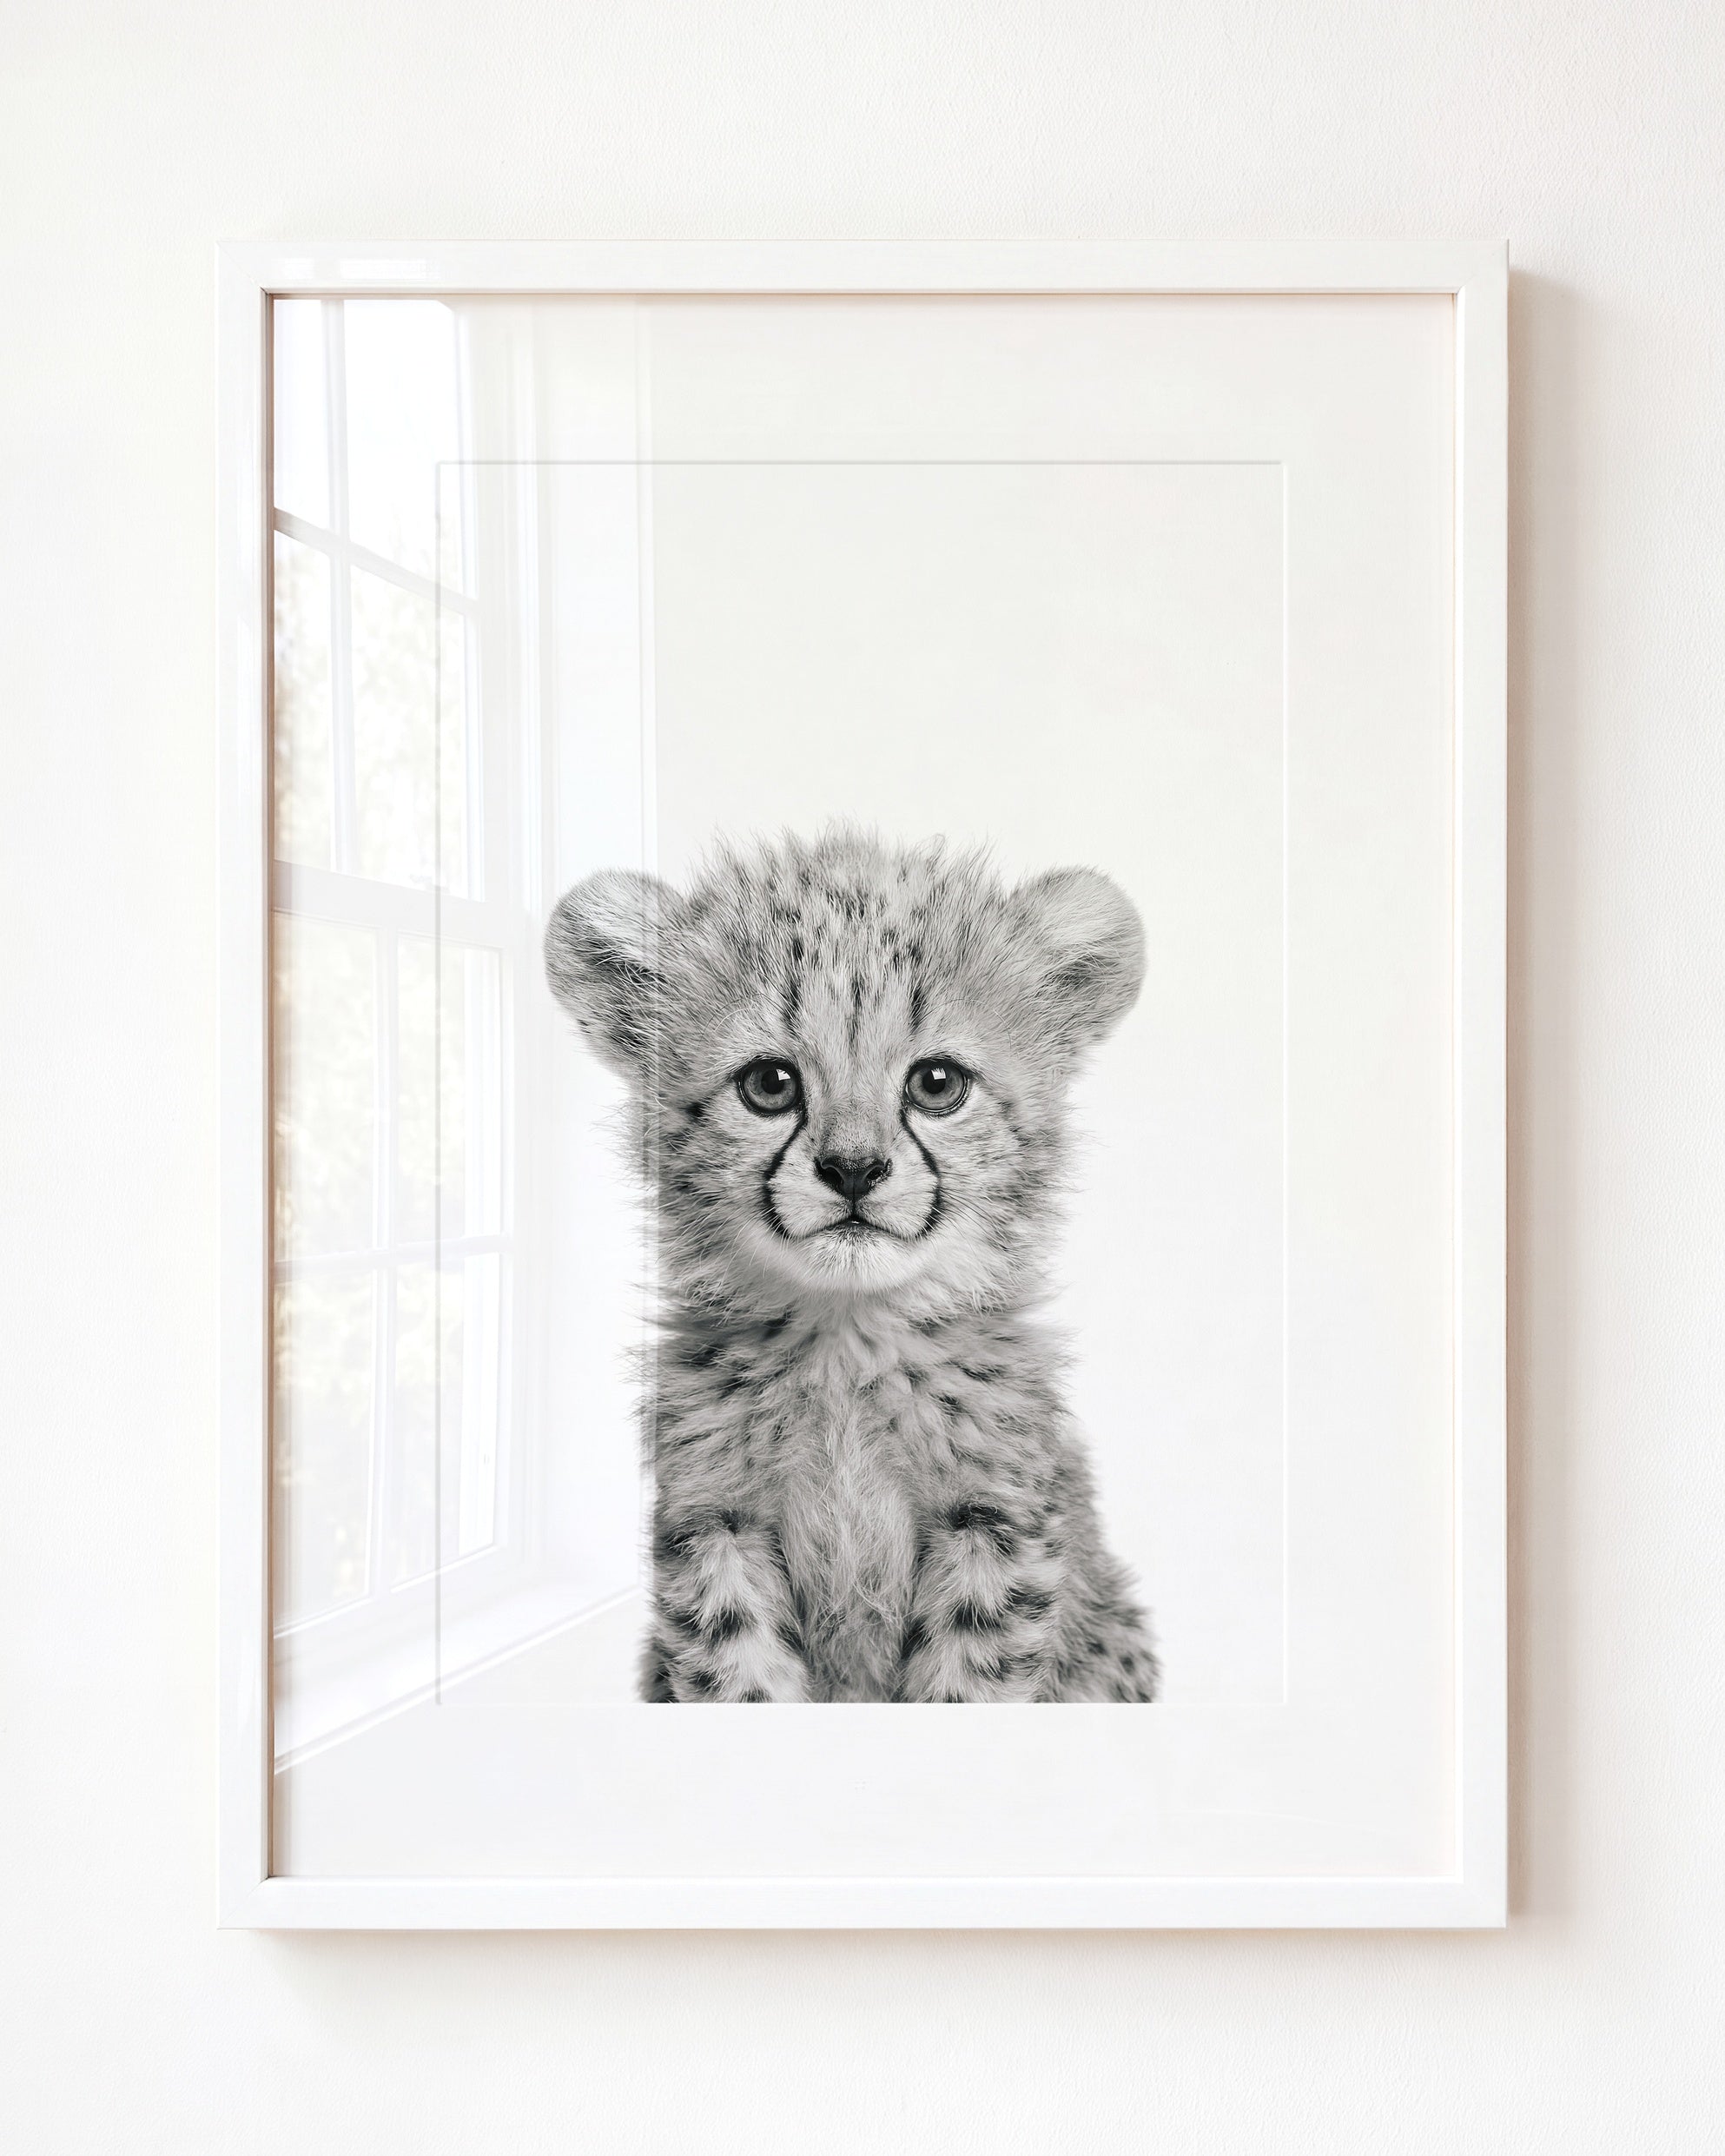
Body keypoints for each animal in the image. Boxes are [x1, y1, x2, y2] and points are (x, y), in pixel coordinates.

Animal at [544, 826, 1159, 1702]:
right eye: (769, 1084)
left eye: (937, 1083)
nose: (855, 1170)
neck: (847, 1340)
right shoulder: (714, 1525)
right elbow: (741, 1674)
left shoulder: (994, 1524)